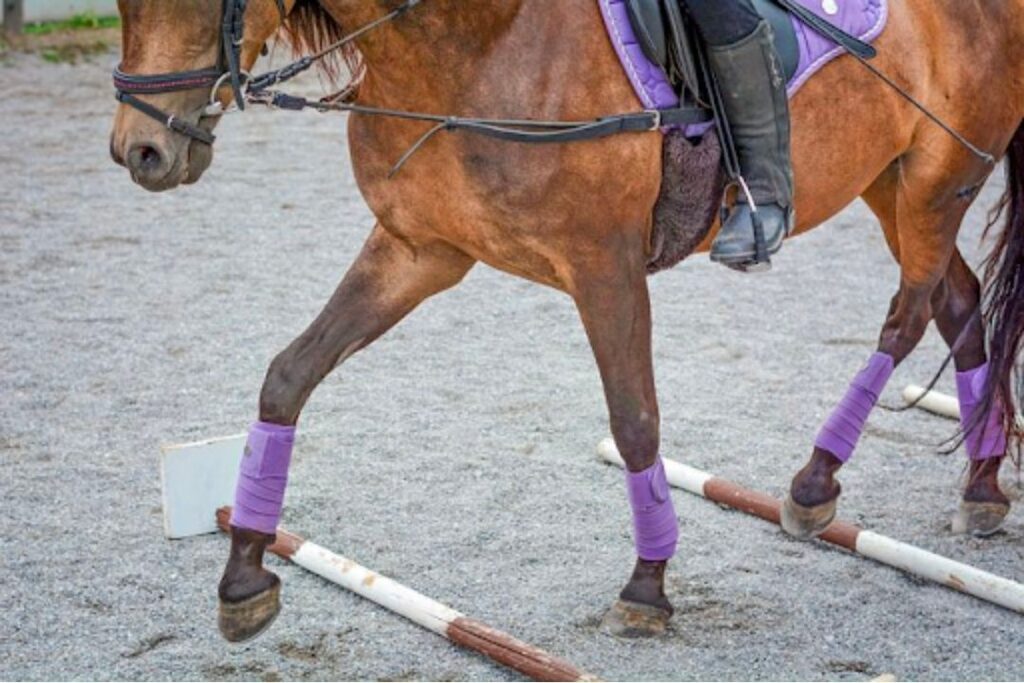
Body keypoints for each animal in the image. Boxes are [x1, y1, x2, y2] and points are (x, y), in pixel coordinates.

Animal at [109, 0, 1024, 639]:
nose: (140, 153)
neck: (480, 47)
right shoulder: (419, 251)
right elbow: (288, 376)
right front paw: (245, 576)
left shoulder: (603, 268)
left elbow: (635, 418)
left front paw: (648, 584)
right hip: (891, 179)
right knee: (958, 304)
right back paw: (980, 484)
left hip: (938, 179)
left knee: (909, 312)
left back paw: (814, 482)